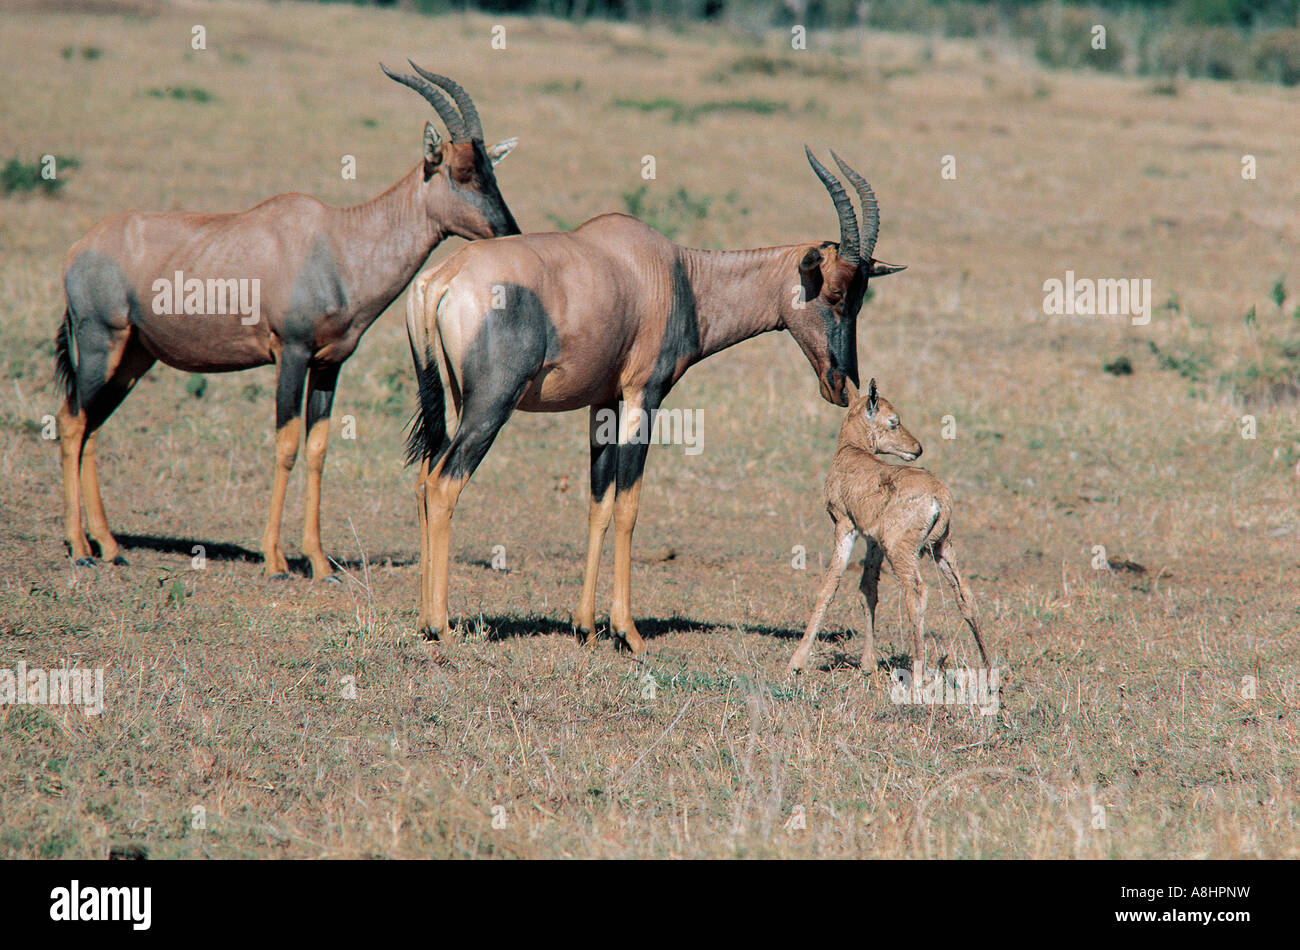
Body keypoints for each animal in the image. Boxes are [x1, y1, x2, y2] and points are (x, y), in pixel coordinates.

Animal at [54, 63, 522, 579]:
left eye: (491, 170)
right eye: (461, 171)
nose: (511, 234)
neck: (337, 240)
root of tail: (78, 249)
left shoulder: (329, 365)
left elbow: (317, 450)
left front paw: (318, 561)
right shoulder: (291, 354)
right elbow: (287, 444)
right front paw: (275, 560)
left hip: (135, 357)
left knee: (93, 427)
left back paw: (110, 545)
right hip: (100, 343)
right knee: (72, 421)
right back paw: (79, 547)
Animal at [405, 146, 904, 654]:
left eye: (861, 298)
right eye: (835, 292)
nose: (842, 384)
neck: (675, 272)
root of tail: (441, 279)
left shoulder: (603, 402)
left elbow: (600, 502)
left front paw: (585, 627)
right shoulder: (643, 395)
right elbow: (629, 504)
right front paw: (628, 632)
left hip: (453, 401)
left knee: (424, 478)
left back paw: (424, 619)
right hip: (490, 406)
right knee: (444, 483)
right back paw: (441, 625)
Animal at [785, 379, 987, 675]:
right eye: (894, 421)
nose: (917, 448)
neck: (853, 453)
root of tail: (940, 496)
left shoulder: (845, 526)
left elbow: (830, 585)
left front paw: (796, 662)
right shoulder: (873, 541)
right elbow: (868, 589)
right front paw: (867, 664)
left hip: (902, 552)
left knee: (917, 593)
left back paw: (918, 671)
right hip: (942, 547)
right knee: (965, 595)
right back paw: (988, 666)